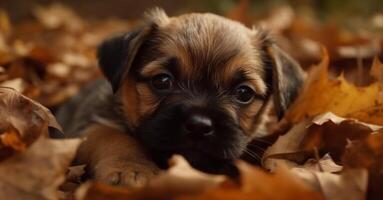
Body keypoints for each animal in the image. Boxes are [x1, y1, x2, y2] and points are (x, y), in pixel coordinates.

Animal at [55, 8, 306, 187]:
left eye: (244, 93)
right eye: (162, 81)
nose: (199, 125)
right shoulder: (90, 125)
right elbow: (115, 138)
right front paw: (129, 168)